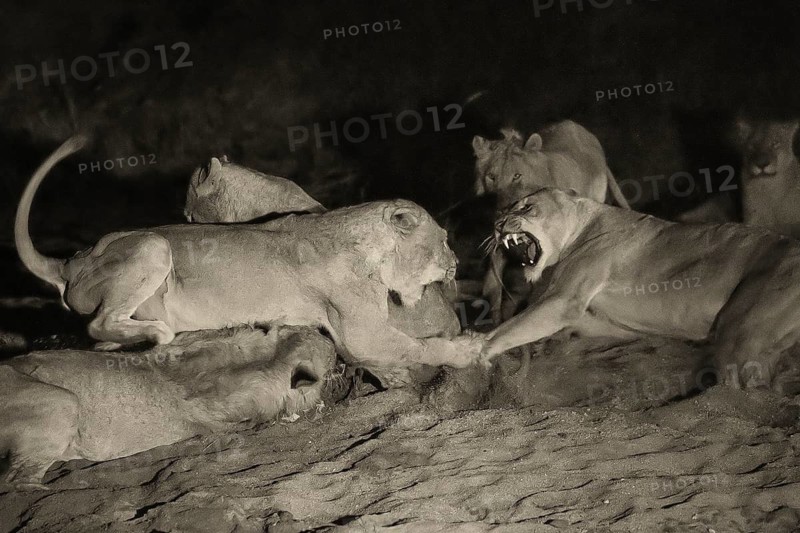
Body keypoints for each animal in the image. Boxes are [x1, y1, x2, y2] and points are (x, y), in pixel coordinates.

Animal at [477, 188, 800, 393]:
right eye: (504, 210)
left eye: (526, 207)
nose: (497, 224)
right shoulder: (605, 323)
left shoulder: (565, 299)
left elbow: (511, 328)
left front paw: (480, 349)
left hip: (742, 330)